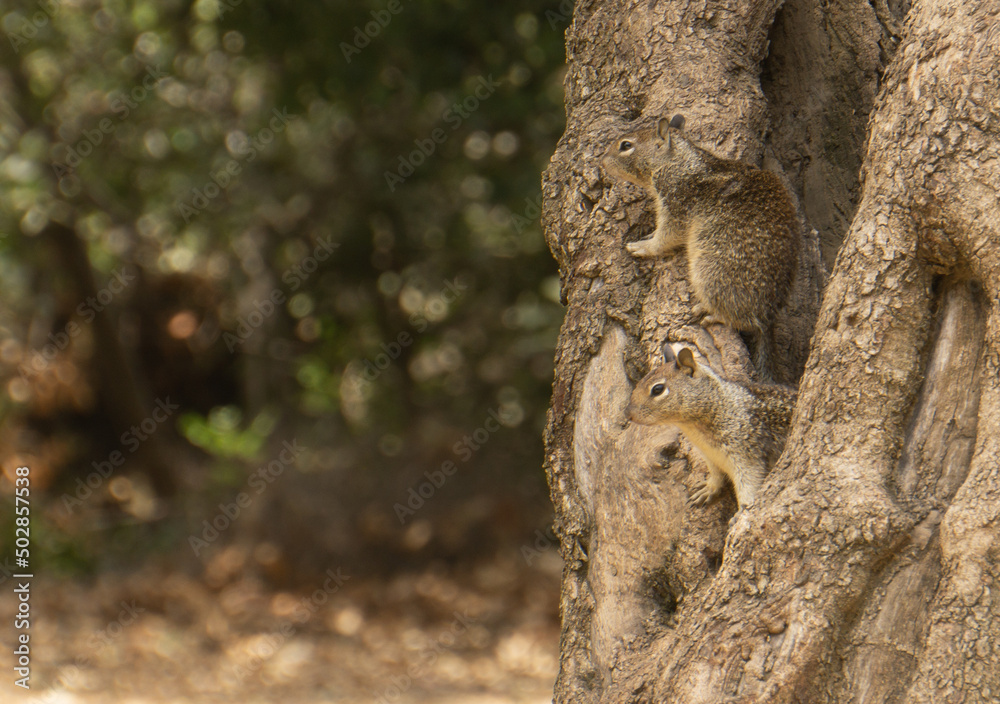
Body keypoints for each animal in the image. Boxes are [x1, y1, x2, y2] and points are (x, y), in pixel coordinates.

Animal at [602, 115, 800, 381]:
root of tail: (769, 314)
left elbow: (666, 237)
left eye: (625, 145)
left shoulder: (676, 207)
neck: (678, 162)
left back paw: (709, 312)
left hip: (709, 273)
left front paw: (642, 246)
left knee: (746, 321)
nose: (602, 160)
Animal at [625, 344, 795, 508]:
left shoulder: (747, 456)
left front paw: (743, 510)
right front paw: (708, 489)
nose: (629, 415)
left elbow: (749, 484)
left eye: (657, 389)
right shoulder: (710, 457)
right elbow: (716, 476)